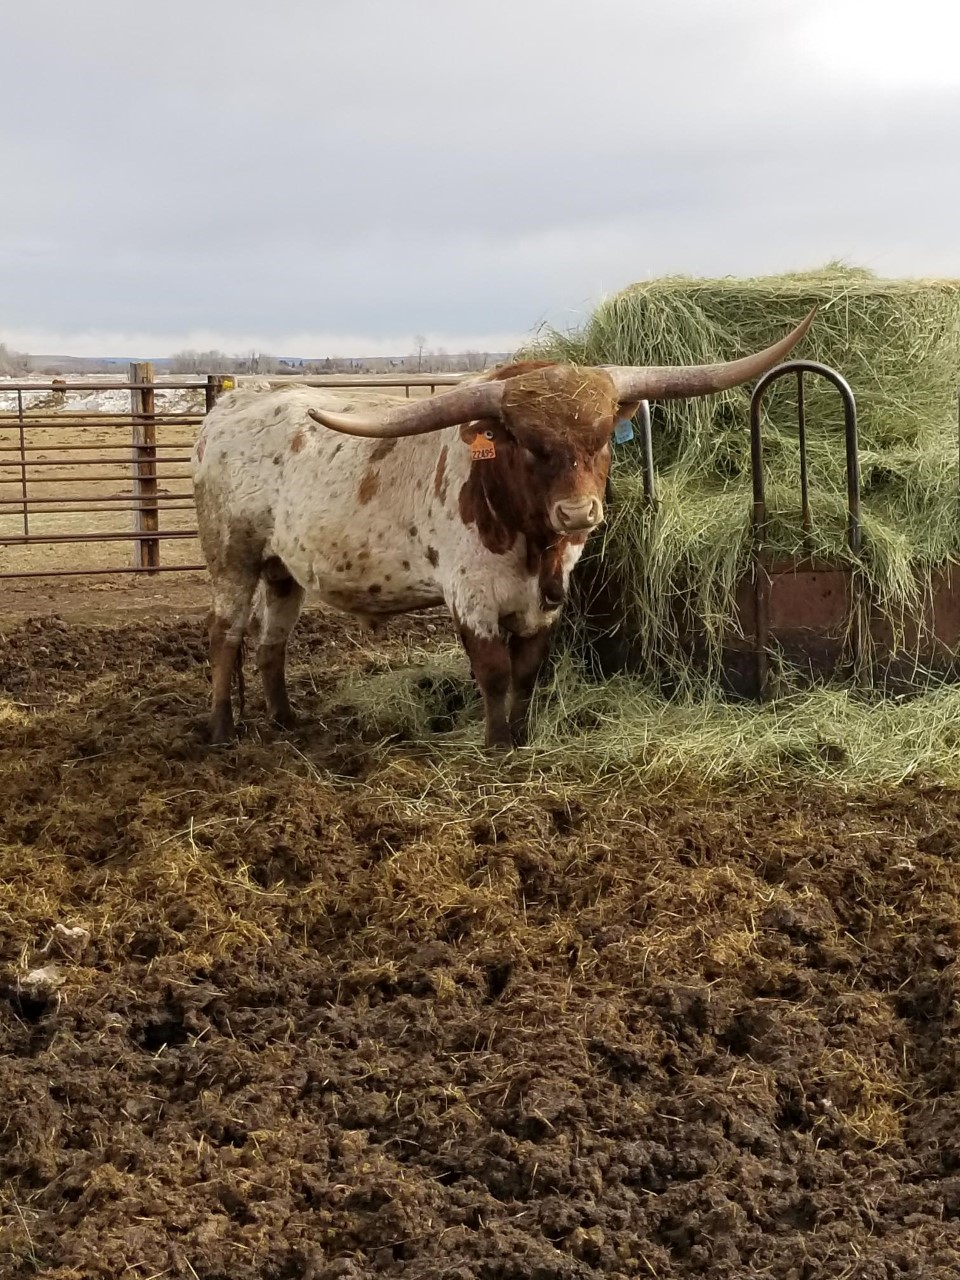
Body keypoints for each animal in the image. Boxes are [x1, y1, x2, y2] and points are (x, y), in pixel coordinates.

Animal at [191, 311, 814, 748]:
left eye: (601, 440)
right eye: (529, 444)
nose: (578, 514)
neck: (530, 540)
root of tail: (228, 409)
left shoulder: (546, 600)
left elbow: (527, 672)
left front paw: (523, 736)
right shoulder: (471, 596)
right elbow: (492, 672)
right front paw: (495, 746)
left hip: (282, 570)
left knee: (272, 641)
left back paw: (285, 719)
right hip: (231, 558)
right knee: (225, 635)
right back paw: (222, 730)